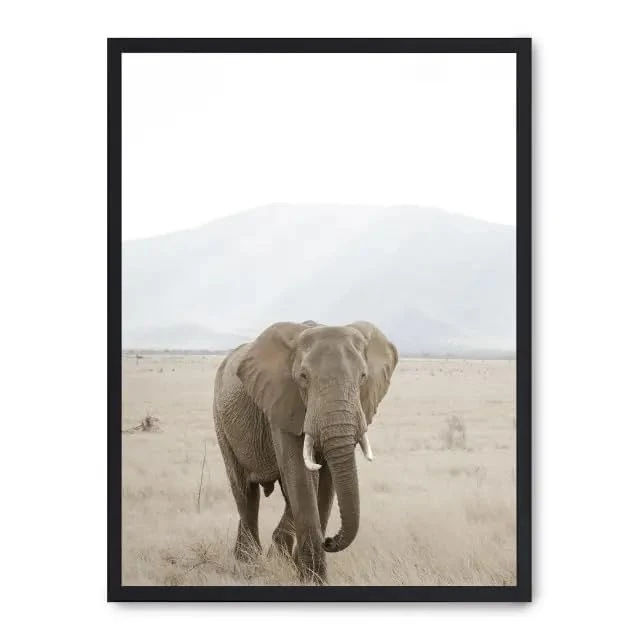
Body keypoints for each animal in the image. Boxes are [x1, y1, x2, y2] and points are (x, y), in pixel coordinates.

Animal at [212, 320, 398, 583]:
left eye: (363, 377)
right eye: (303, 377)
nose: (329, 540)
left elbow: (327, 480)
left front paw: (305, 572)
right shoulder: (282, 402)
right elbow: (300, 475)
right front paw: (312, 578)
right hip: (221, 421)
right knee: (245, 492)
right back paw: (248, 563)